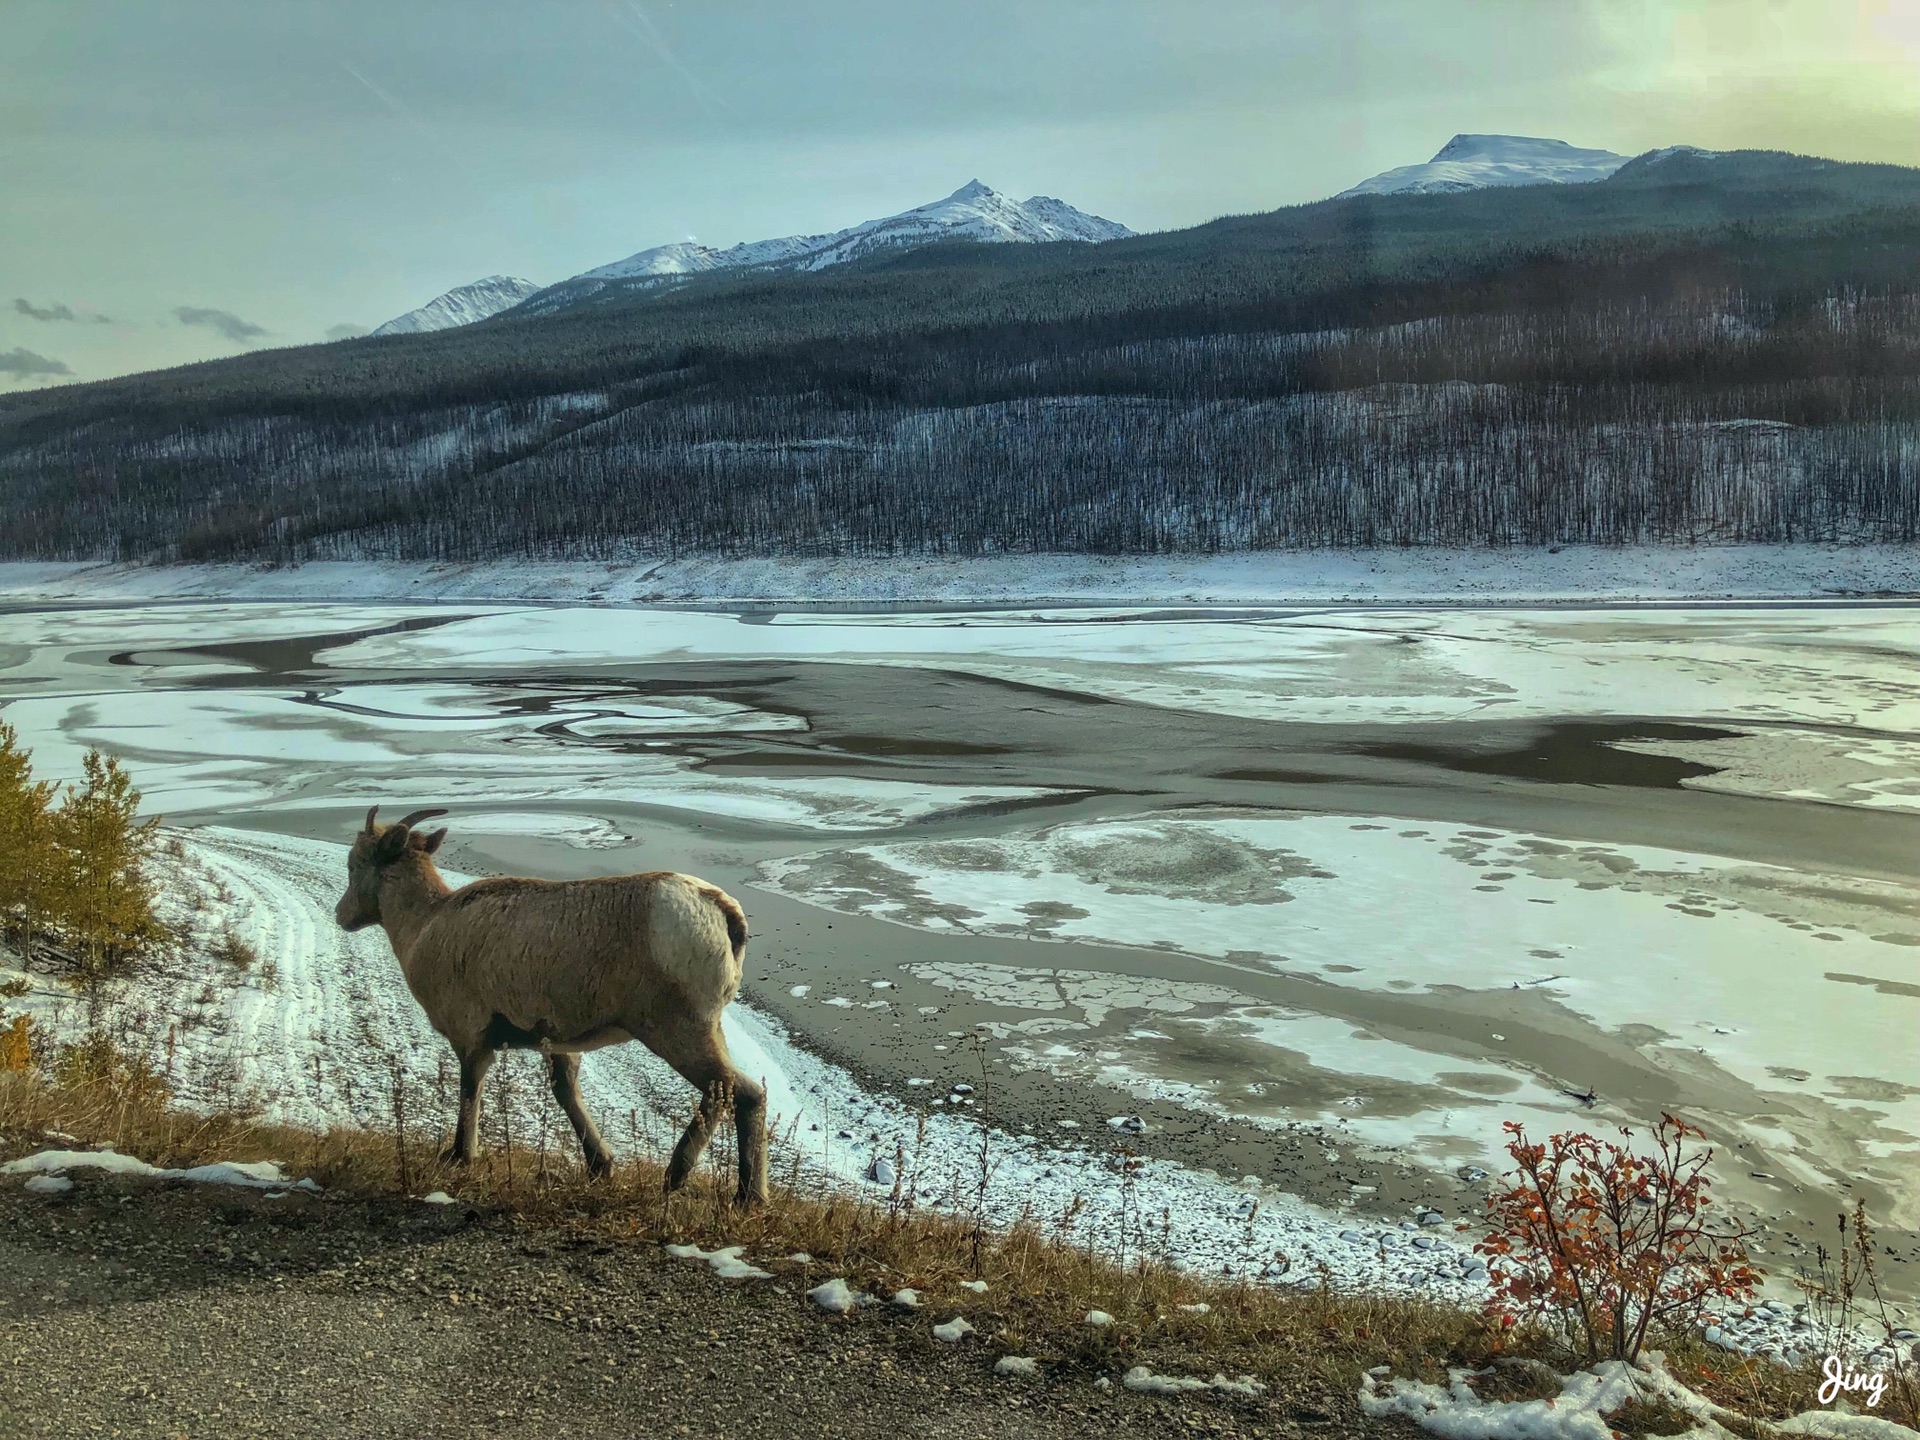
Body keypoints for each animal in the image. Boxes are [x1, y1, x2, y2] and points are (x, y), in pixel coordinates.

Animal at [334, 814, 768, 1205]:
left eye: (355, 863)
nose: (342, 916)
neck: (425, 926)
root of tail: (723, 912)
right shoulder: (558, 1043)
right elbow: (565, 1091)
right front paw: (599, 1166)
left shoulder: (471, 1038)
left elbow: (470, 1090)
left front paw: (460, 1155)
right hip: (708, 1029)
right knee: (733, 1092)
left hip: (676, 1030)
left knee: (737, 1091)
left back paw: (715, 1187)